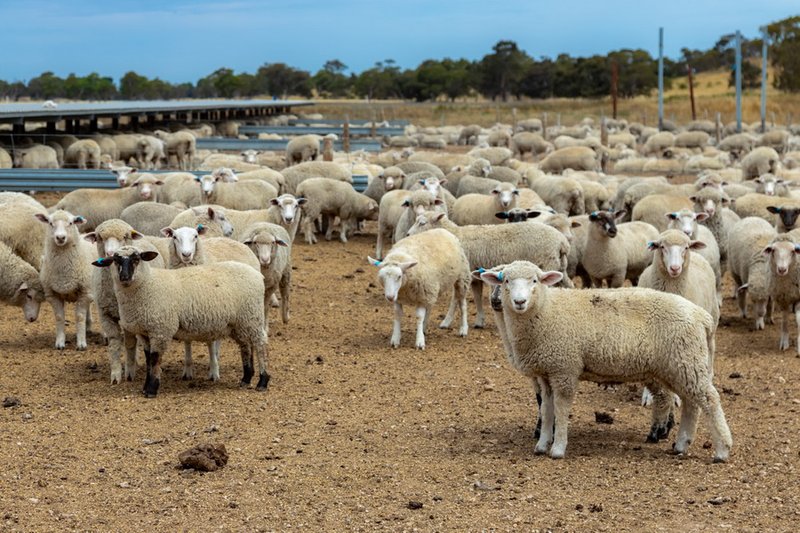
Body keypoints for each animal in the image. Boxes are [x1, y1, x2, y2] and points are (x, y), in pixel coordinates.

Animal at [35, 210, 95, 352]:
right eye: (50, 223)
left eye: (71, 223)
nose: (60, 238)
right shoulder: (52, 295)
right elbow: (59, 317)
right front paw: (60, 342)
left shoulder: (84, 292)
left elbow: (79, 317)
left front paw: (81, 343)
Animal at [83, 219, 165, 382]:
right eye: (99, 237)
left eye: (125, 236)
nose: (109, 253)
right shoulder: (106, 315)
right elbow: (114, 343)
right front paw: (115, 375)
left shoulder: (129, 317)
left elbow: (130, 344)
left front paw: (129, 371)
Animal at [92, 245, 268, 394]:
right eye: (115, 260)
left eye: (137, 259)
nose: (124, 277)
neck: (148, 284)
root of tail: (257, 274)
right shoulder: (144, 332)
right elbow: (148, 359)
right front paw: (146, 386)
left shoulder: (160, 329)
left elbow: (155, 359)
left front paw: (151, 389)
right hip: (239, 323)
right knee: (245, 345)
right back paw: (246, 378)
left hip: (252, 315)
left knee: (260, 344)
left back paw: (263, 380)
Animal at [478, 260, 736, 460]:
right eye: (505, 281)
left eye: (534, 281)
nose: (519, 302)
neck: (546, 310)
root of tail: (702, 316)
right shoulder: (547, 372)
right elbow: (547, 409)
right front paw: (542, 445)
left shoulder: (564, 368)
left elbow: (560, 410)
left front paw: (558, 448)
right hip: (678, 365)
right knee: (691, 404)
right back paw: (681, 444)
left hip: (685, 360)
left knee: (709, 400)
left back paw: (722, 450)